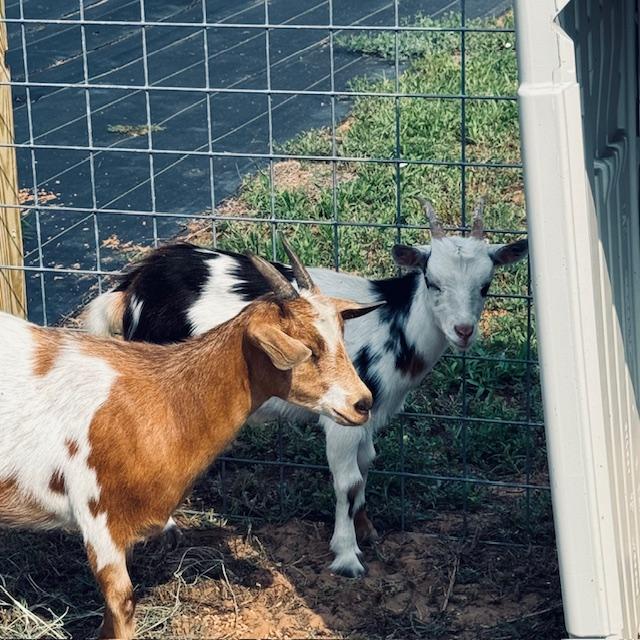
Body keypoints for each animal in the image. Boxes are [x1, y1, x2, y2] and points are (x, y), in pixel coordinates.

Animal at [0, 241, 381, 639]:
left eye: (341, 335)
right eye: (305, 346)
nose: (362, 403)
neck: (162, 398)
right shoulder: (97, 518)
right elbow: (122, 604)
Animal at [84, 199, 528, 578]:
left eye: (486, 285)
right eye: (432, 281)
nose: (463, 331)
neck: (391, 321)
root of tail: (133, 285)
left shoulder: (368, 413)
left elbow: (365, 466)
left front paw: (366, 530)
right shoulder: (341, 416)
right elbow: (347, 480)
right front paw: (347, 556)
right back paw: (166, 527)